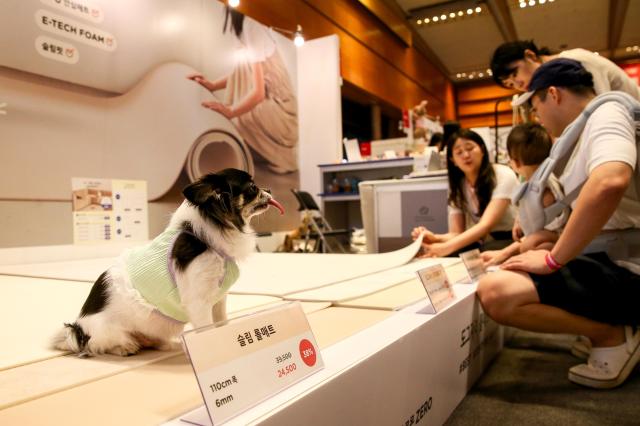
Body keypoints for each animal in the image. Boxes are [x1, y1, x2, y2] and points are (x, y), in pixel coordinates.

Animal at [53, 169, 284, 356]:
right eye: (253, 188)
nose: (269, 188)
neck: (207, 239)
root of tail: (78, 329)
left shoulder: (218, 300)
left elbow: (222, 323)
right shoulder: (198, 302)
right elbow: (207, 329)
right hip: (108, 331)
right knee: (97, 345)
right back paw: (125, 347)